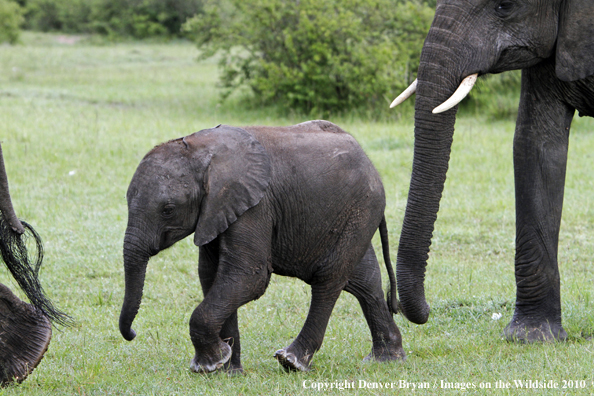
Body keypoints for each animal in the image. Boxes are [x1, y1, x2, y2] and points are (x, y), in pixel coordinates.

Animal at [121, 121, 408, 374]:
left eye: (168, 210)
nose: (133, 333)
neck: (201, 148)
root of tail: (368, 160)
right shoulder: (217, 210)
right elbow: (212, 275)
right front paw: (226, 370)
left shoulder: (256, 205)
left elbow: (249, 276)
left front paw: (207, 365)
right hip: (355, 214)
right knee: (364, 279)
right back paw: (387, 358)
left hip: (361, 209)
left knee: (329, 279)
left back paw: (292, 361)